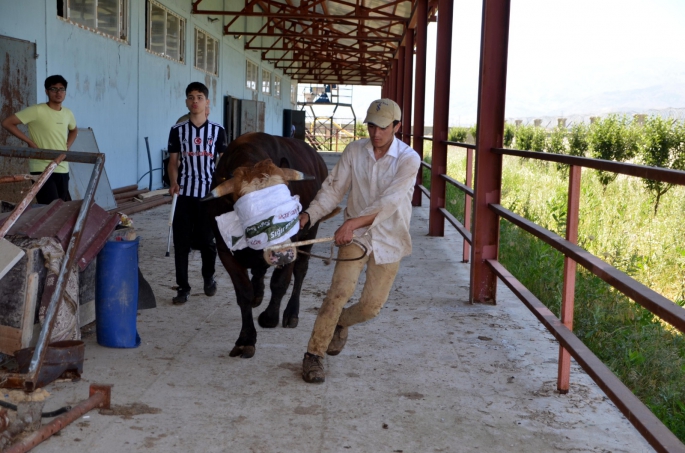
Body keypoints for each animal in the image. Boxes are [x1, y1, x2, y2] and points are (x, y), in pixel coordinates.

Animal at [204, 131, 328, 356]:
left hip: (310, 231)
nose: (281, 253)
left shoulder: (293, 242)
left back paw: (291, 312)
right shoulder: (224, 250)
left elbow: (279, 283)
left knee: (300, 271)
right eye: (248, 211)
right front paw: (246, 338)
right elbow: (243, 292)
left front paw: (270, 317)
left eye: (288, 202)